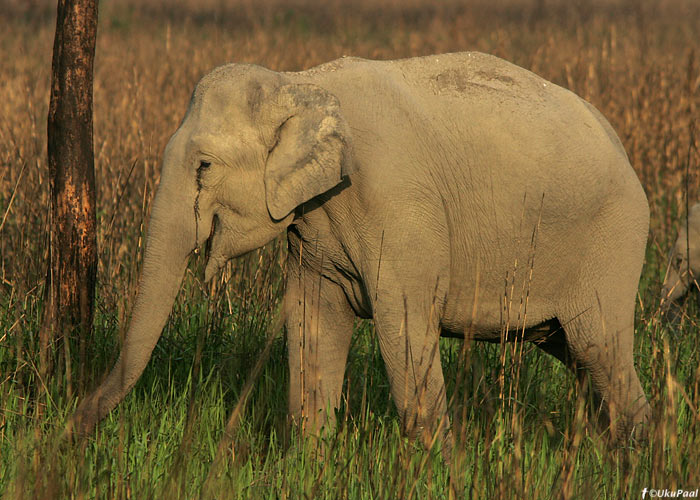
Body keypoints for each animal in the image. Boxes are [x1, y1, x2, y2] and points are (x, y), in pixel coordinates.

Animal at [65, 50, 652, 450]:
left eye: (205, 166)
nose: (66, 433)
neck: (301, 82)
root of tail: (622, 149)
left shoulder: (400, 209)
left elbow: (405, 326)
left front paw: (435, 466)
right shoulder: (315, 227)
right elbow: (313, 322)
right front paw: (308, 462)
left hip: (611, 242)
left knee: (600, 348)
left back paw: (636, 455)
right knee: (579, 356)